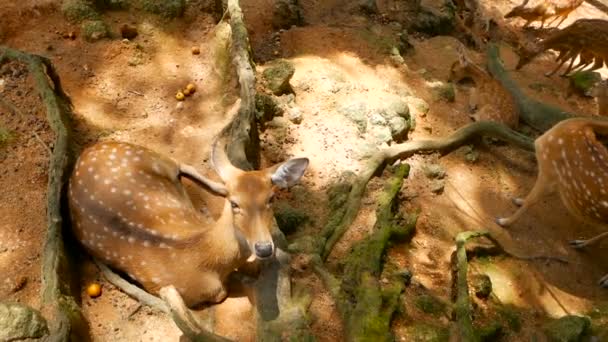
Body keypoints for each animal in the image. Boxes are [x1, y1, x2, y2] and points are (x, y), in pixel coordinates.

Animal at [67, 138, 308, 308]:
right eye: (234, 203)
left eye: (271, 198)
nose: (264, 248)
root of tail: (85, 151)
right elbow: (223, 292)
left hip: (149, 155)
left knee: (183, 165)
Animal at [496, 119, 608, 288]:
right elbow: (532, 198)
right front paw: (518, 200)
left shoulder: (548, 169)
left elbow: (532, 201)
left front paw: (504, 221)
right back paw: (579, 244)